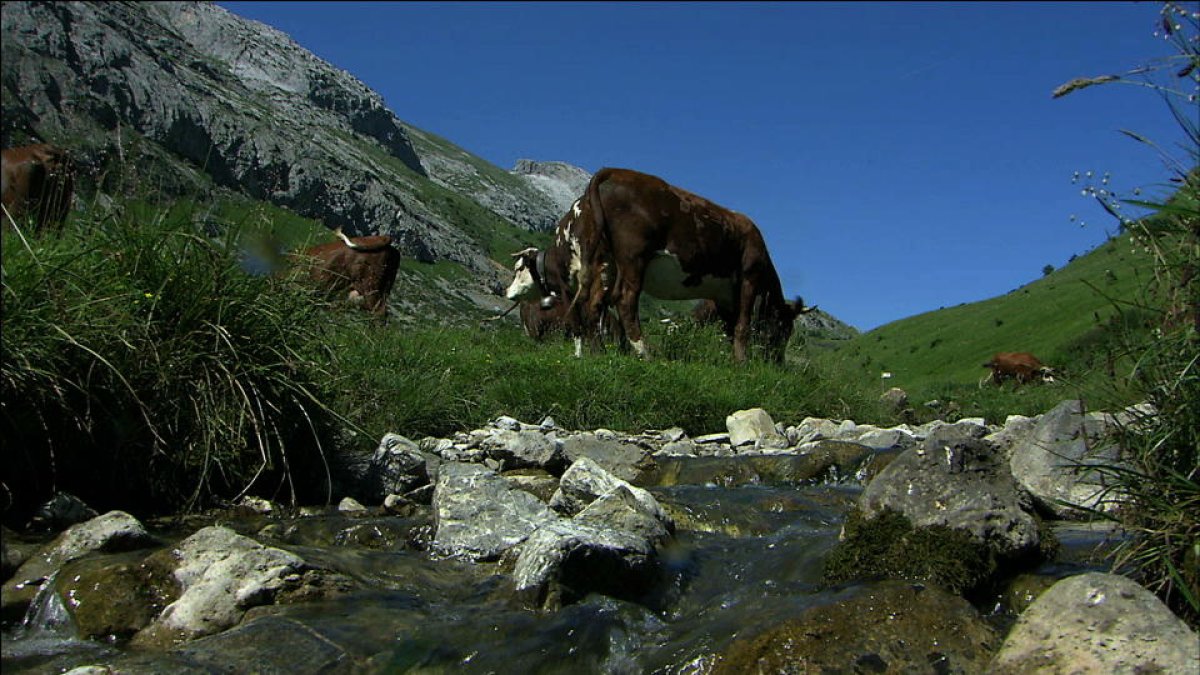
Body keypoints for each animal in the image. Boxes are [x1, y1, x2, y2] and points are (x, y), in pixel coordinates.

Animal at [506, 166, 806, 362]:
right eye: (785, 328)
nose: (778, 361)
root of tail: (613, 173)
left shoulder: (723, 295)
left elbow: (731, 328)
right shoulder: (748, 276)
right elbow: (743, 325)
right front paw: (742, 364)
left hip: (604, 263)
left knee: (592, 306)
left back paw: (600, 354)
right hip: (633, 258)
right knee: (624, 301)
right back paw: (645, 353)